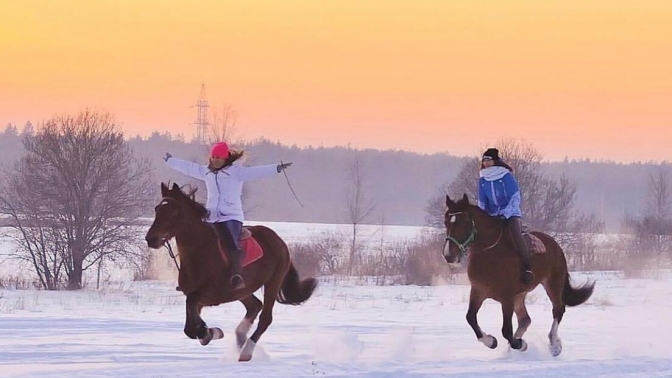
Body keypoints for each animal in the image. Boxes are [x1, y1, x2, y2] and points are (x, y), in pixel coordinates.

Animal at [144, 183, 318, 360]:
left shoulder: (209, 294)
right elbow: (189, 328)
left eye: (173, 211)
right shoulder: (197, 298)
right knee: (255, 305)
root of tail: (279, 241)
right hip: (243, 290)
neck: (201, 253)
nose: (151, 239)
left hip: (273, 282)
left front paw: (210, 332)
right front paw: (209, 332)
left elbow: (192, 320)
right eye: (157, 209)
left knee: (265, 318)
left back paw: (246, 351)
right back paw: (240, 338)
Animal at [444, 193, 596, 356]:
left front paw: (520, 344)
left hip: (553, 283)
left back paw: (554, 345)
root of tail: (554, 243)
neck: (489, 253)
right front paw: (491, 341)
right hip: (520, 295)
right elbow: (470, 318)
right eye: (446, 222)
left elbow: (506, 330)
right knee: (525, 320)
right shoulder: (478, 291)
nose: (448, 255)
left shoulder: (507, 298)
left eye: (464, 223)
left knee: (558, 310)